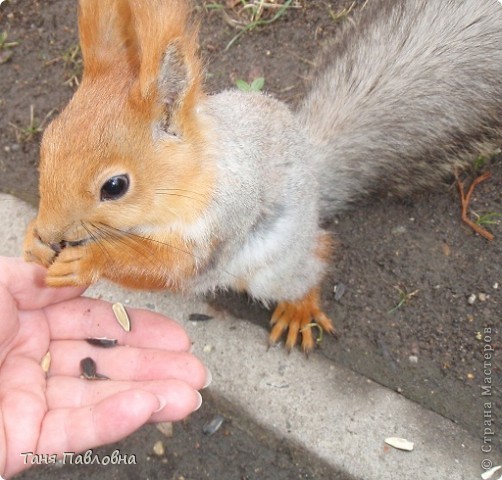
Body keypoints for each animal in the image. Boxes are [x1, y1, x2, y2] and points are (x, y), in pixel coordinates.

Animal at [23, 0, 502, 352]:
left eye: (115, 186)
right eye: (48, 141)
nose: (49, 231)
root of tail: (315, 170)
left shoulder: (223, 218)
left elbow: (170, 266)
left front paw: (89, 261)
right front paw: (33, 243)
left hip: (278, 260)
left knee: (313, 259)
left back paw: (298, 308)